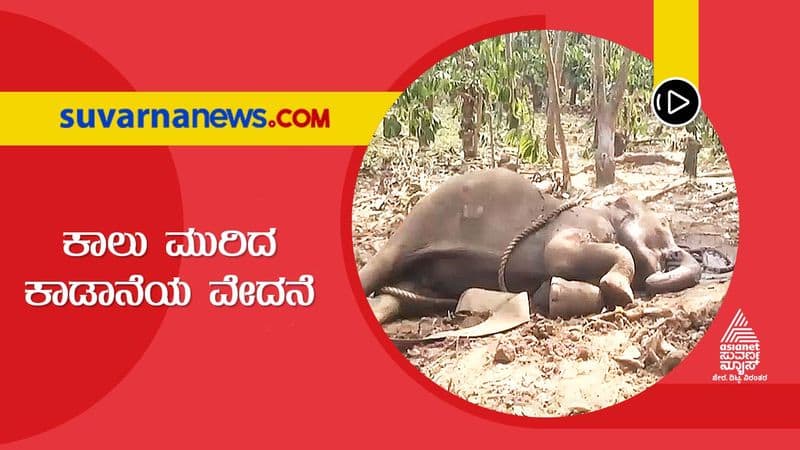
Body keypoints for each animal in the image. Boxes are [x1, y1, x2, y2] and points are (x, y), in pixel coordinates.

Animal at [358, 169, 700, 324]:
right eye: (663, 225)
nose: (672, 255)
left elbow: (548, 290)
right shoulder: (582, 224)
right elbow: (557, 255)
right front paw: (620, 293)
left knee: (397, 297)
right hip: (419, 223)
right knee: (380, 267)